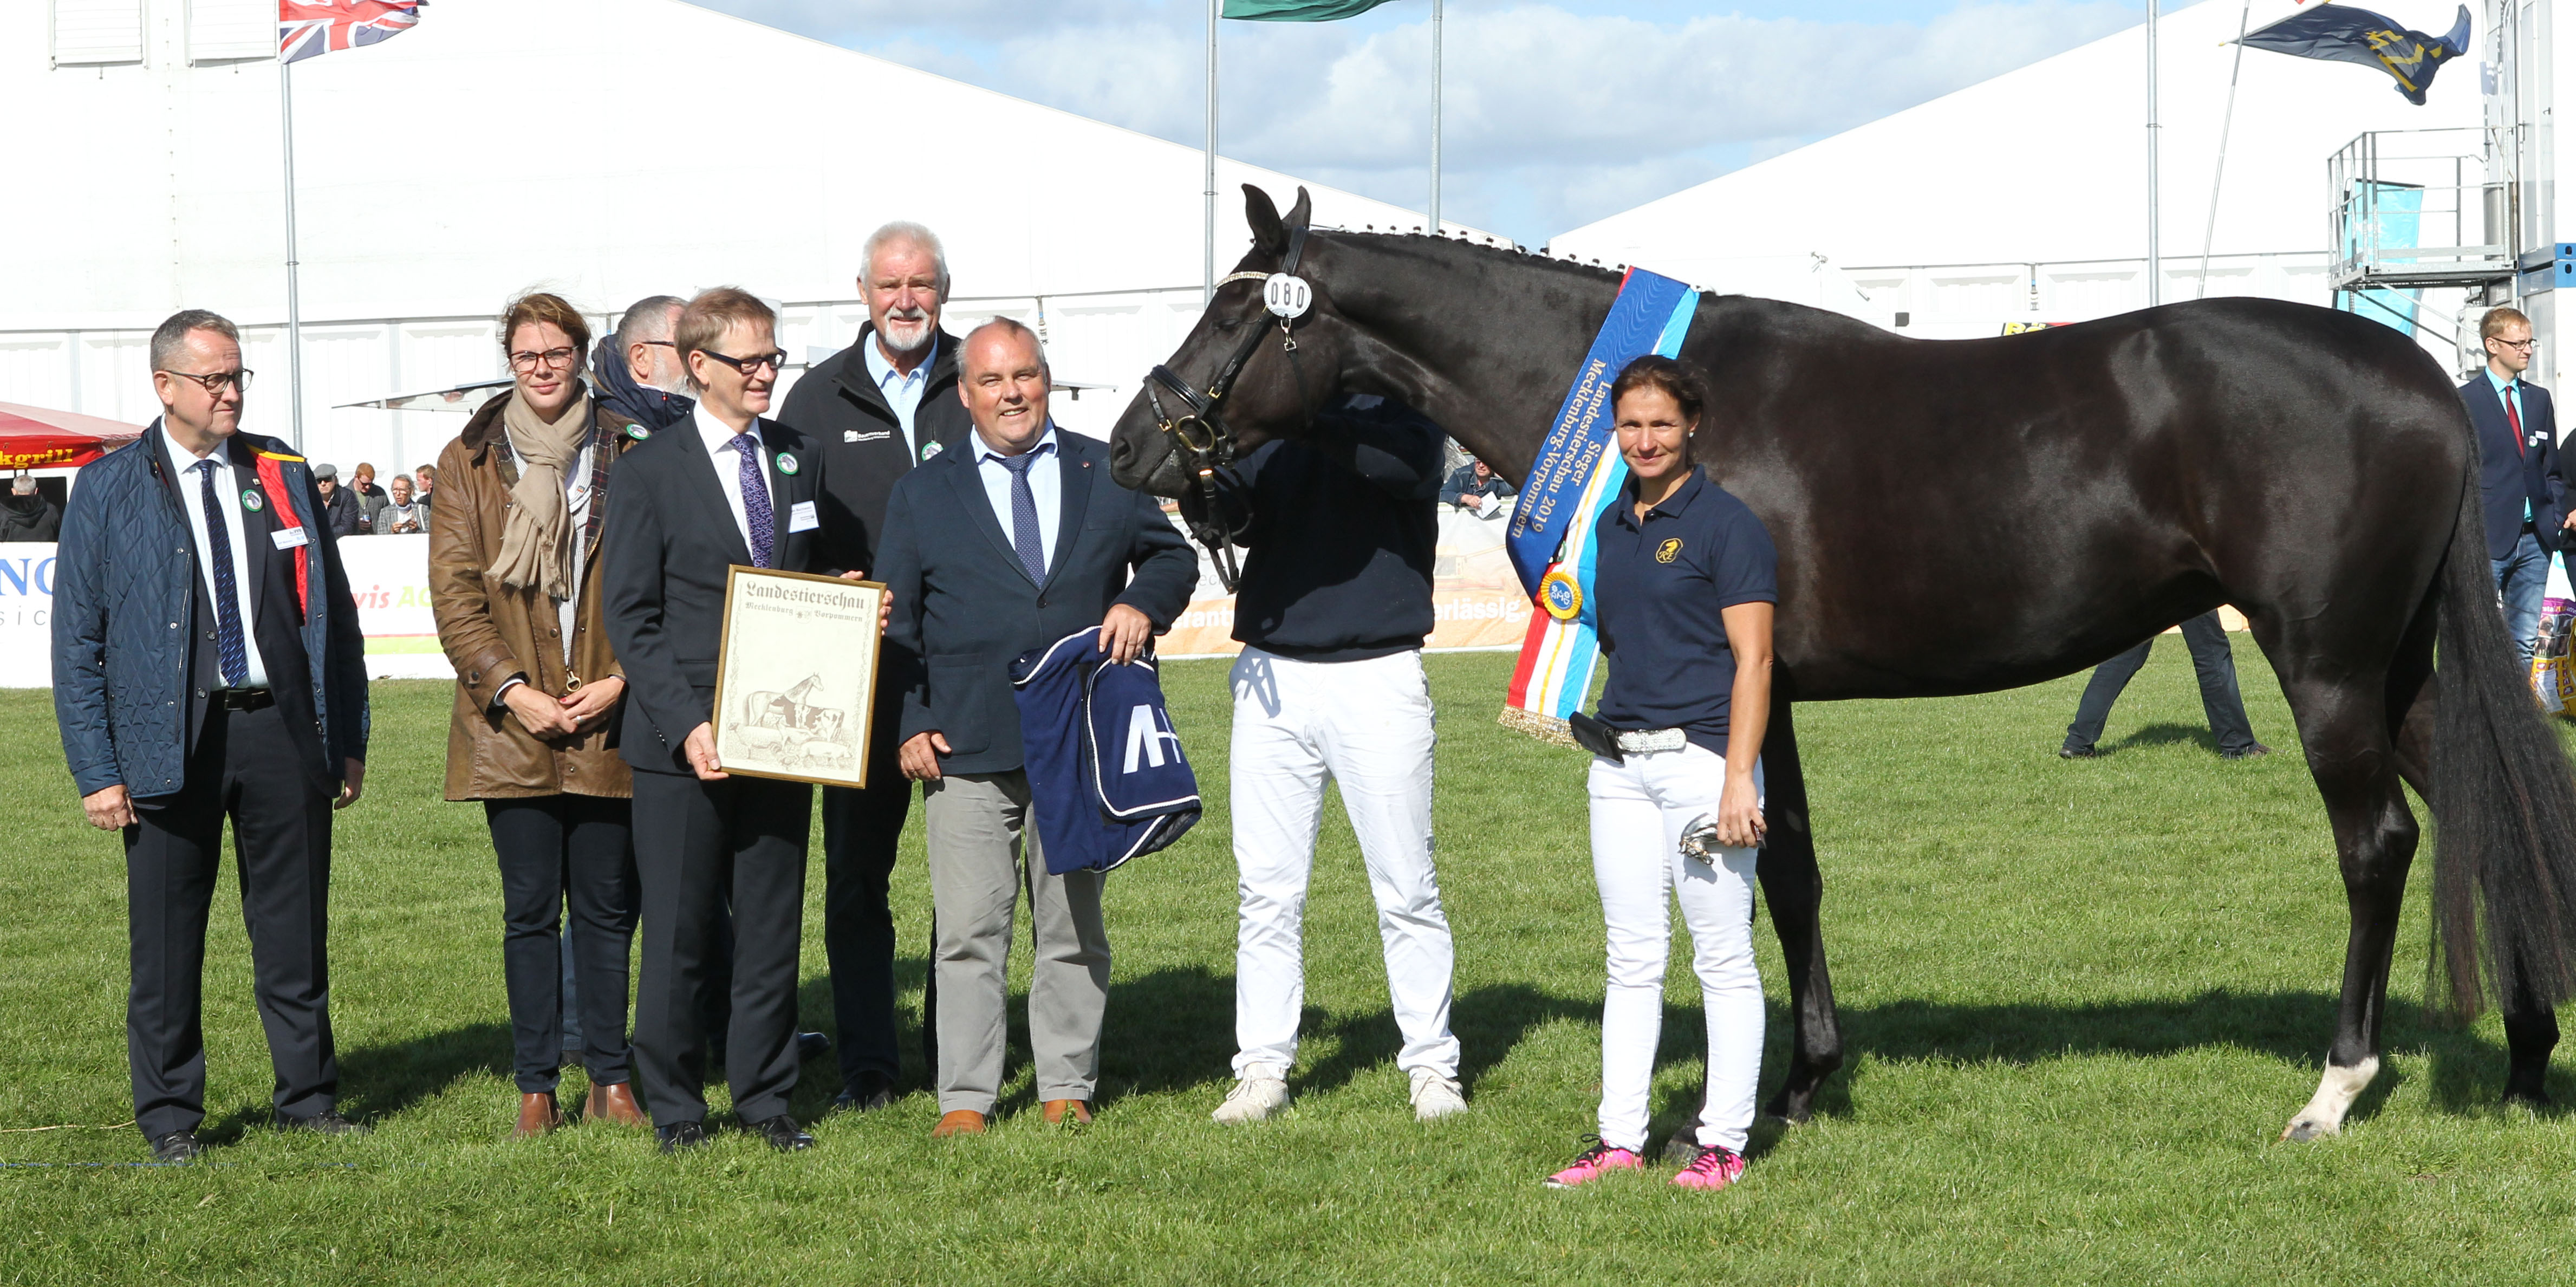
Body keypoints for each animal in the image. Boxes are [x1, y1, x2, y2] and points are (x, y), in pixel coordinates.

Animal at [1113, 186, 2576, 1142]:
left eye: (1234, 317)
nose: (1132, 445)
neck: (1654, 409)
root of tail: (2417, 372)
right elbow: (1794, 869)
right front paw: (1807, 1073)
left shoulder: (1743, 693)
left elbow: (1778, 873)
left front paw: (1792, 1084)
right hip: (2397, 673)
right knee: (2494, 812)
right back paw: (2523, 1055)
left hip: (2324, 665)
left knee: (2380, 844)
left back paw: (2335, 1087)